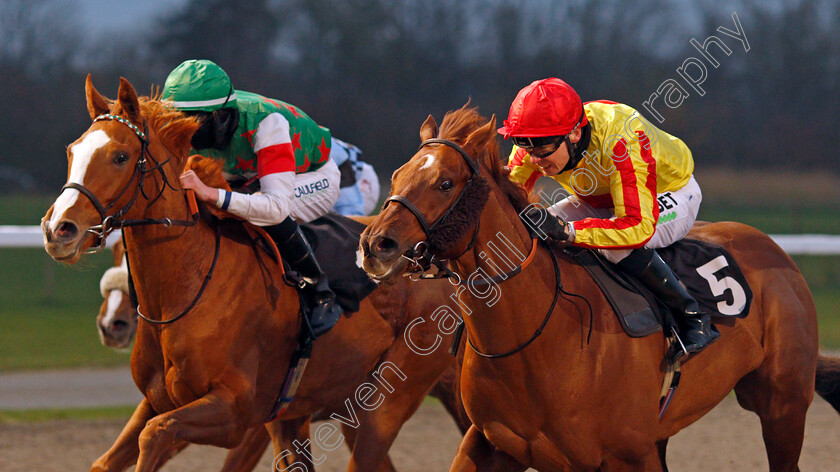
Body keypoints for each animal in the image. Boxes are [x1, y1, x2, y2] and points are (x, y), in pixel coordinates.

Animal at [44, 75, 466, 470]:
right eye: (72, 151)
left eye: (120, 156)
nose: (58, 229)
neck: (187, 287)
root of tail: (434, 263)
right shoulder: (162, 400)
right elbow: (109, 458)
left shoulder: (235, 412)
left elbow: (156, 435)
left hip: (390, 401)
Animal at [360, 105, 840, 470]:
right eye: (398, 174)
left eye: (445, 183)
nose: (374, 245)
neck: (535, 336)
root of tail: (778, 254)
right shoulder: (491, 443)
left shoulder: (623, 455)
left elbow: (634, 227)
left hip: (782, 407)